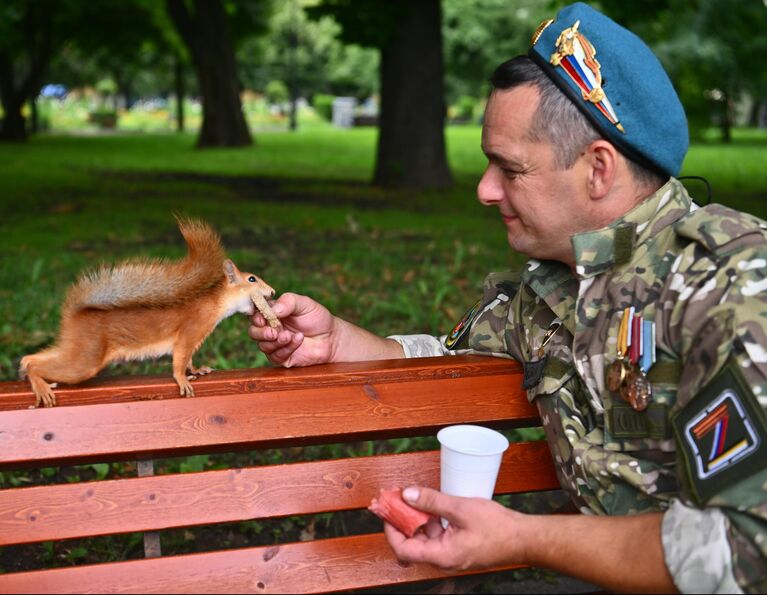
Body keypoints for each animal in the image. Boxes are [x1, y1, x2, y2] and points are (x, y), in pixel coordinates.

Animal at [20, 219, 282, 410]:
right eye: (252, 279)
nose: (272, 292)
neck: (214, 304)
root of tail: (75, 317)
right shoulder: (190, 332)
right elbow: (180, 359)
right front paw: (182, 379)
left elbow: (189, 359)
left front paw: (197, 370)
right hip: (85, 359)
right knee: (40, 364)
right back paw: (39, 383)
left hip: (74, 348)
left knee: (34, 357)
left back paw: (31, 372)